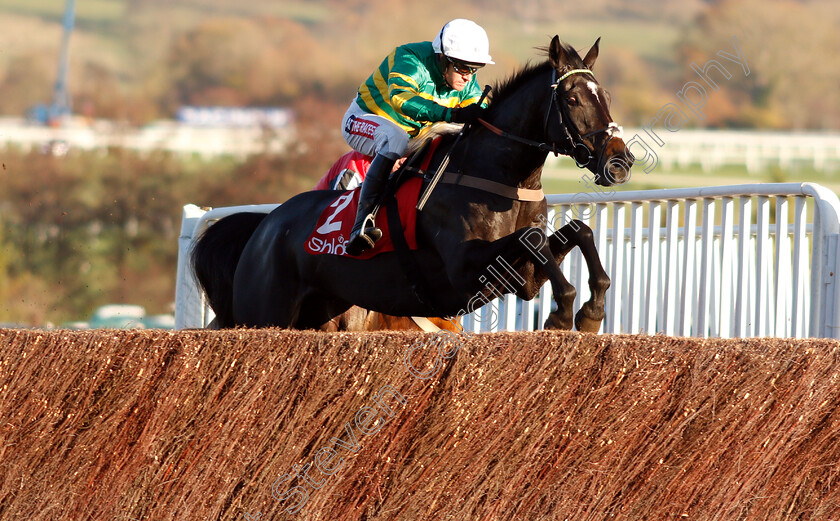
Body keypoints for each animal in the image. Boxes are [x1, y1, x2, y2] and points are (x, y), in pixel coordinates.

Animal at [194, 35, 632, 330]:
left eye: (606, 96)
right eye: (573, 99)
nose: (620, 162)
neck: (501, 177)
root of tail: (265, 224)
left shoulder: (520, 279)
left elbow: (578, 231)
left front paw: (590, 312)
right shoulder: (464, 270)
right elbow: (531, 238)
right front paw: (563, 313)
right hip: (264, 313)